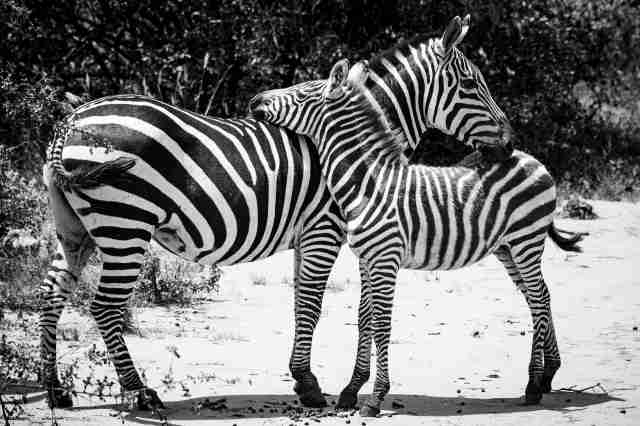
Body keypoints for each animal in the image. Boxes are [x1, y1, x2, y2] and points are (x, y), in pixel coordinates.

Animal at [39, 15, 511, 410]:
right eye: (471, 84)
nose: (508, 145)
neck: (354, 147)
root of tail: (72, 120)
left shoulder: (320, 235)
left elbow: (318, 305)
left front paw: (314, 381)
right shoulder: (325, 228)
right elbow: (312, 306)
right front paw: (309, 385)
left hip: (75, 227)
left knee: (52, 291)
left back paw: (56, 390)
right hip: (125, 224)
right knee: (105, 306)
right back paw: (140, 393)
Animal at [249, 59, 584, 416]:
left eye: (301, 94)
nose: (255, 100)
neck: (368, 181)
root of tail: (532, 158)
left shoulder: (385, 258)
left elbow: (382, 324)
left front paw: (375, 398)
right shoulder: (367, 258)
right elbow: (366, 319)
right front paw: (353, 390)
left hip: (526, 241)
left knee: (539, 299)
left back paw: (533, 384)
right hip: (507, 247)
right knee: (538, 297)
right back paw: (544, 376)